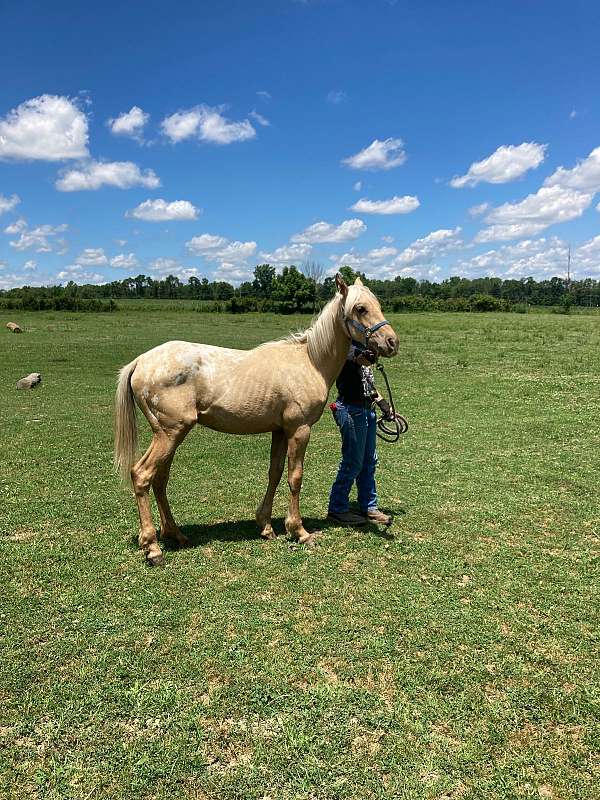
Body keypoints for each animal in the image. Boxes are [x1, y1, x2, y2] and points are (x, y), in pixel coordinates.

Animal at [115, 276, 400, 564]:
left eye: (377, 304)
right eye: (360, 308)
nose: (391, 342)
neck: (310, 362)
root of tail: (140, 362)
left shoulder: (280, 431)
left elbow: (275, 473)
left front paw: (265, 526)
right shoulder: (299, 430)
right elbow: (295, 477)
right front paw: (299, 531)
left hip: (170, 436)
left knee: (160, 480)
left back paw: (175, 535)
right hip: (170, 433)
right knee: (142, 475)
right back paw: (152, 547)